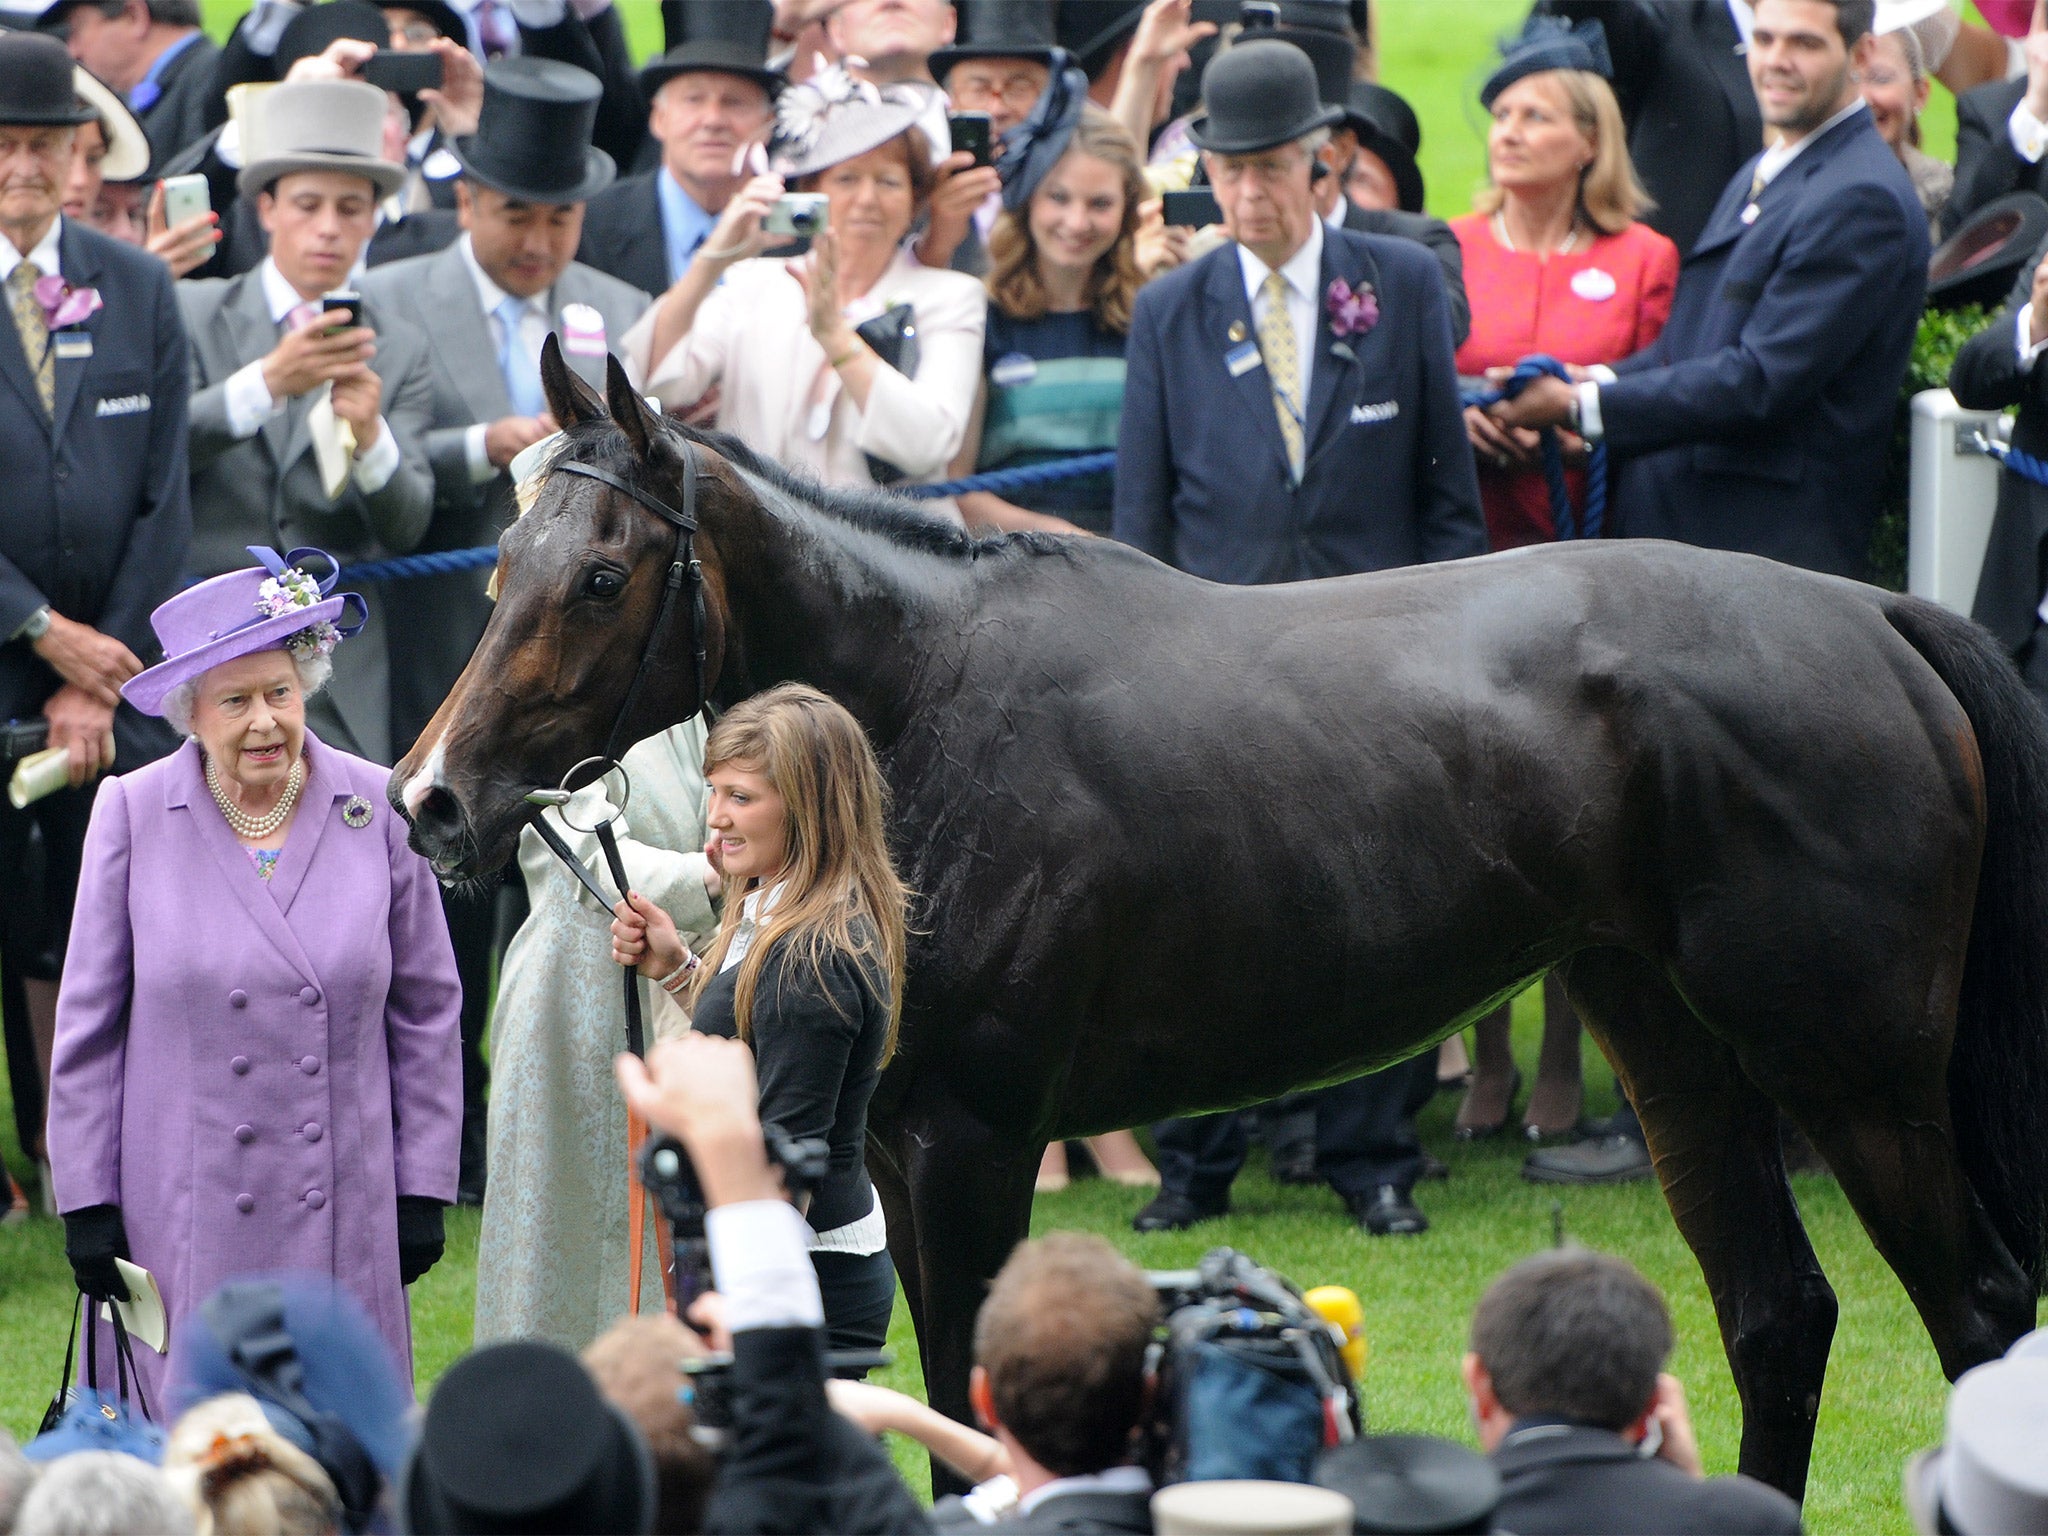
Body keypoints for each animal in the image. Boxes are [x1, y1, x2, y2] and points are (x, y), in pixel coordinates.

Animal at [395, 348, 2048, 1507]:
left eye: (602, 576)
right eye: (502, 567)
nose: (431, 800)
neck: (924, 703)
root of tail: (1877, 617)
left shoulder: (974, 1141)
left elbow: (975, 1405)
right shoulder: (891, 1149)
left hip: (1855, 1073)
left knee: (1977, 1311)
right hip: (1675, 1041)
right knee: (1776, 1315)